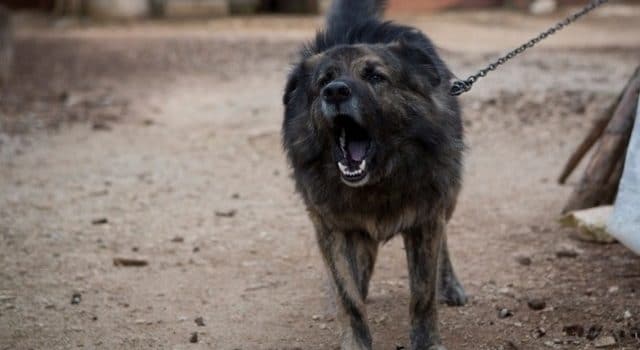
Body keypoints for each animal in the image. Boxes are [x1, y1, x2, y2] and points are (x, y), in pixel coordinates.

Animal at [282, 1, 468, 348]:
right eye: (323, 81)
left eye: (374, 76)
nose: (335, 92)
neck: (377, 182)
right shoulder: (332, 227)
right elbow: (349, 296)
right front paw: (355, 339)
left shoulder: (426, 217)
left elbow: (422, 295)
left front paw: (427, 342)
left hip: (449, 194)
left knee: (445, 241)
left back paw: (450, 285)